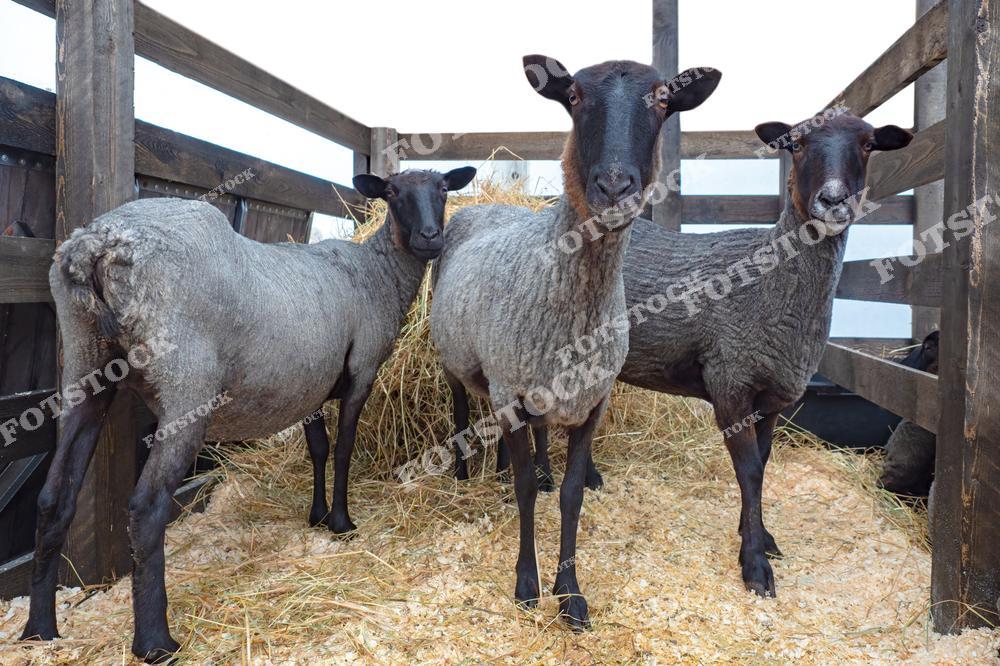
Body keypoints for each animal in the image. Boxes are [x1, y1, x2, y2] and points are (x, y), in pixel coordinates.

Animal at [19, 166, 476, 663]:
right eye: (392, 193)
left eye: (443, 189)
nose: (431, 238)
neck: (377, 273)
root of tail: (96, 242)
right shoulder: (362, 369)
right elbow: (344, 449)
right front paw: (341, 523)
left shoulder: (310, 383)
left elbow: (319, 448)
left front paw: (316, 516)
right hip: (186, 385)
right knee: (147, 505)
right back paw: (156, 642)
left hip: (84, 365)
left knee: (53, 496)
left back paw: (39, 630)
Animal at [430, 55, 721, 629]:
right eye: (574, 98)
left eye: (662, 100)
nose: (613, 185)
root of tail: (488, 207)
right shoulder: (512, 393)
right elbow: (524, 493)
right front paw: (527, 583)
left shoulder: (593, 400)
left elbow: (569, 496)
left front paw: (570, 593)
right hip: (462, 359)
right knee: (459, 404)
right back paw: (464, 471)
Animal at [524, 112, 914, 597]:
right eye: (797, 144)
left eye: (867, 144)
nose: (832, 200)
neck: (774, 283)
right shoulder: (731, 384)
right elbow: (749, 472)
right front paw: (755, 565)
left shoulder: (770, 399)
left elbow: (763, 465)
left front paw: (760, 536)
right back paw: (543, 476)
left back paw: (589, 474)